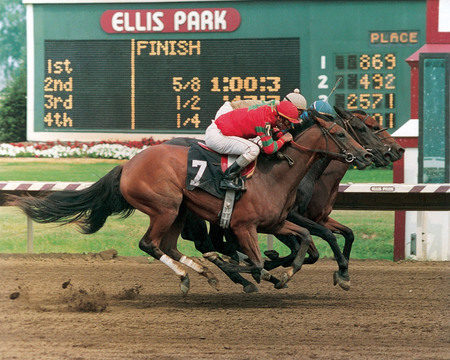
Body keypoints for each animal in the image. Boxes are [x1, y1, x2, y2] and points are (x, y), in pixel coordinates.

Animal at [9, 114, 372, 296]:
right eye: (342, 133)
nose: (366, 155)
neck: (277, 174)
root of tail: (127, 165)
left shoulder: (278, 222)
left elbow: (307, 240)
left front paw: (285, 273)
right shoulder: (243, 226)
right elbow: (254, 262)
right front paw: (256, 271)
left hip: (179, 211)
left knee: (168, 245)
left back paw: (199, 273)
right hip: (166, 207)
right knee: (150, 243)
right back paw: (198, 272)